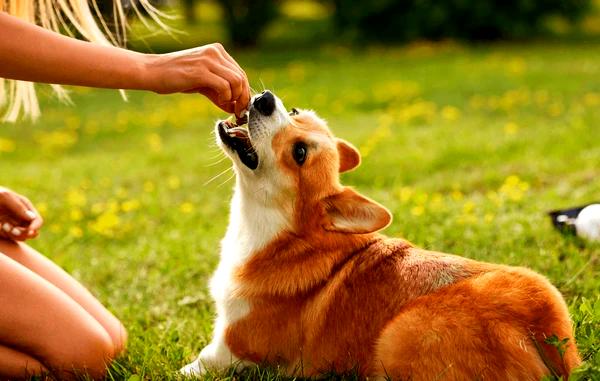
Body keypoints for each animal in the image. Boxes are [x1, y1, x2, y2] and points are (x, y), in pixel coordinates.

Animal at [180, 90, 580, 378]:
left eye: (299, 153)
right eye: (293, 112)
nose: (265, 98)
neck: (280, 233)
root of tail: (540, 333)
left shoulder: (234, 344)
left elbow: (201, 361)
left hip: (396, 335)